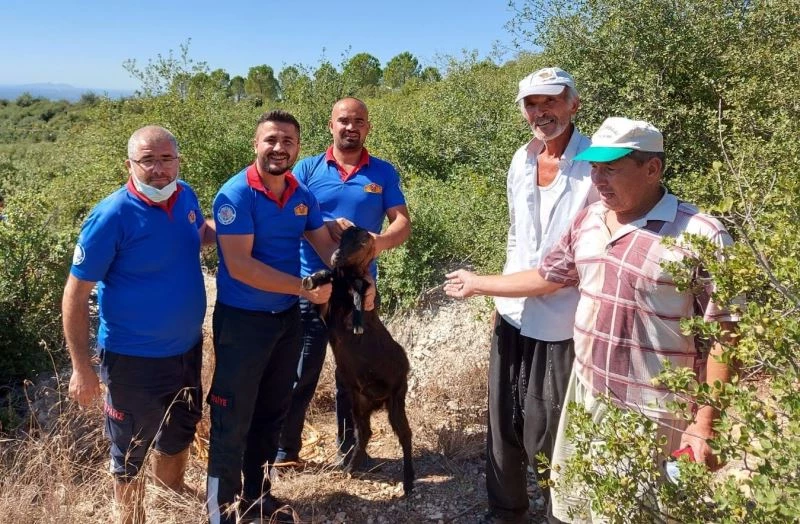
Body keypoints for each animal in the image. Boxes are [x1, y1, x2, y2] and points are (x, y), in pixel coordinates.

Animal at [302, 226, 414, 496]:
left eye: (363, 242)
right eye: (341, 237)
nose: (336, 257)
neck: (344, 282)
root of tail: (377, 400)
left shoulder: (358, 287)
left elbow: (362, 287)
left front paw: (358, 322)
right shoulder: (325, 310)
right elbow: (324, 283)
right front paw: (313, 279)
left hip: (396, 397)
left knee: (405, 435)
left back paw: (408, 481)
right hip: (359, 403)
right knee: (365, 433)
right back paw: (351, 468)